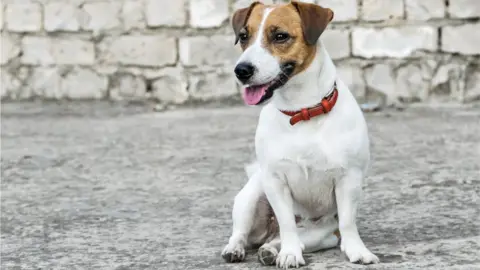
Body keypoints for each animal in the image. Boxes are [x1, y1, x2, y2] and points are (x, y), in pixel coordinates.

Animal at [220, 1, 378, 268]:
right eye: (243, 37)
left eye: (280, 36)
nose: (241, 70)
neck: (301, 110)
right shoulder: (275, 181)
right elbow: (287, 224)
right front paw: (290, 254)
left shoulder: (349, 178)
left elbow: (348, 222)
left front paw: (357, 251)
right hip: (251, 197)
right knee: (244, 233)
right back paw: (237, 249)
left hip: (322, 233)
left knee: (280, 240)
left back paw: (270, 251)